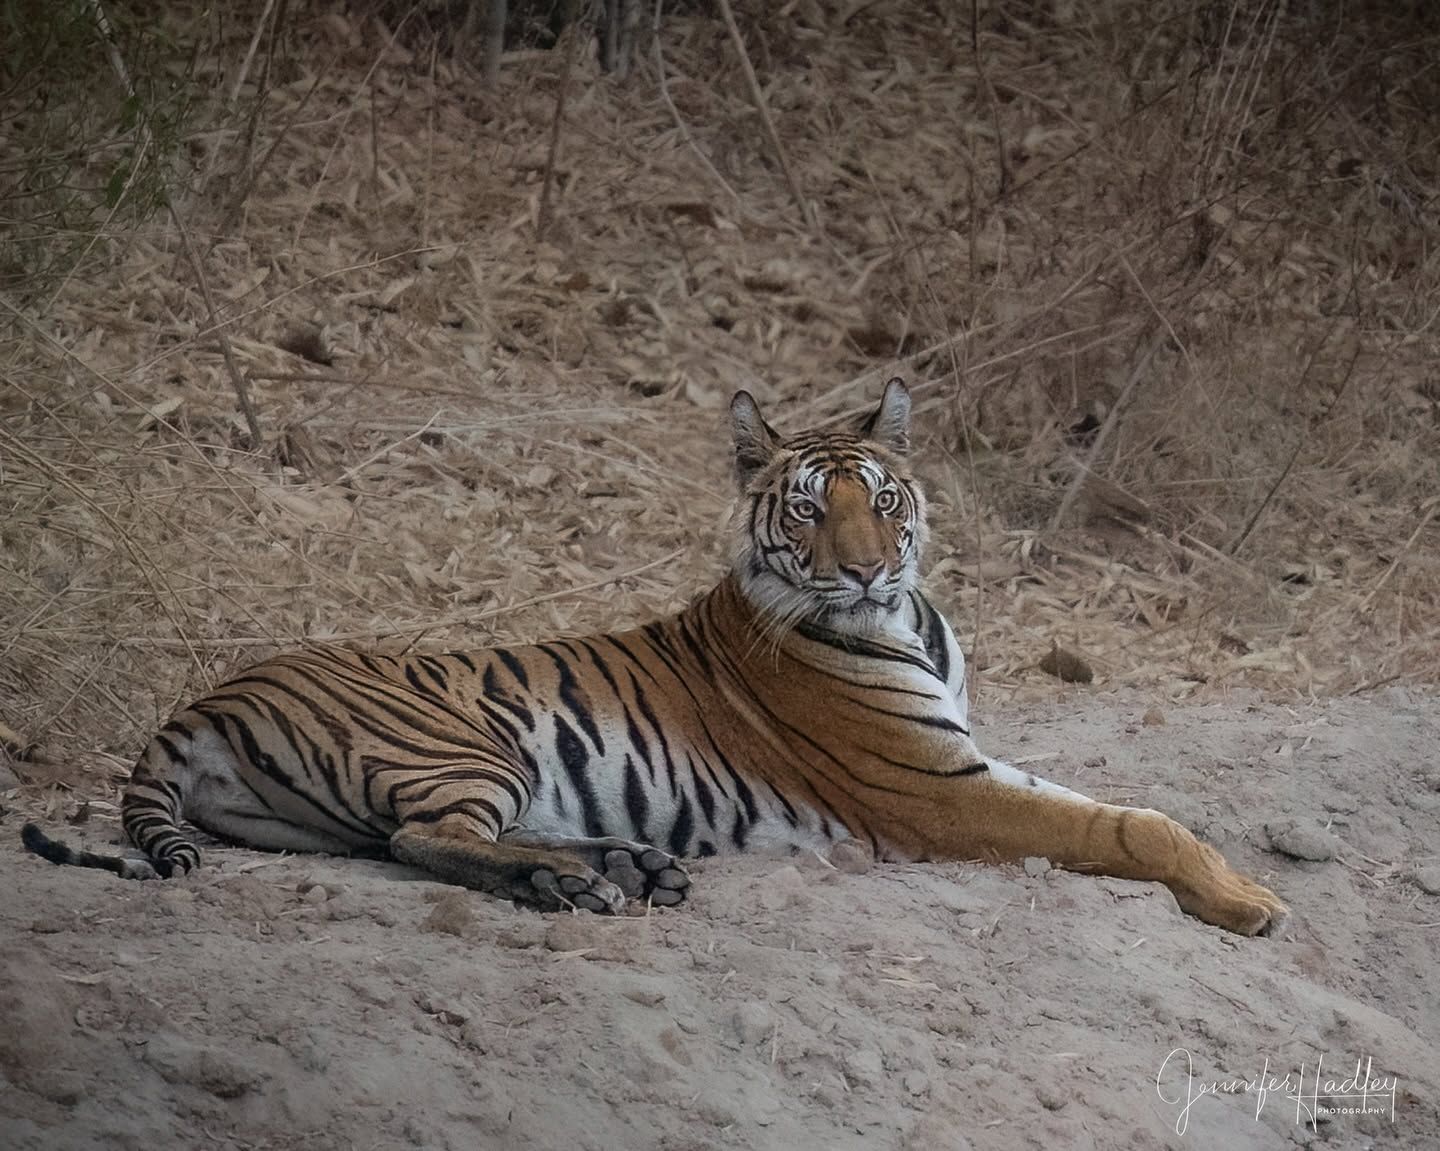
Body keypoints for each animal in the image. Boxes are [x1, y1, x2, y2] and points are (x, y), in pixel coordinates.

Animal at [22, 379, 1288, 935]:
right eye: (811, 509)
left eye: (882, 497)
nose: (869, 567)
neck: (905, 619)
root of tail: (202, 696)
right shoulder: (937, 791)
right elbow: (1121, 825)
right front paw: (1251, 900)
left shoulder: (964, 756)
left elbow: (1134, 806)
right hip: (461, 741)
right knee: (422, 838)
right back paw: (579, 882)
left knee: (418, 839)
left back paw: (633, 866)